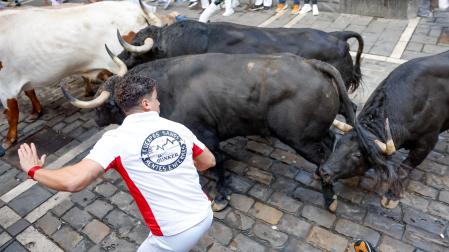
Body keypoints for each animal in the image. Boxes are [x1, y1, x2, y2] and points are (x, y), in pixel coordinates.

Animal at [65, 53, 354, 211]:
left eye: (108, 104)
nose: (95, 119)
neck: (166, 90)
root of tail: (313, 64)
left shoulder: (207, 137)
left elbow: (218, 166)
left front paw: (221, 197)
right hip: (313, 133)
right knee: (331, 141)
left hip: (299, 139)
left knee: (323, 158)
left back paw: (329, 198)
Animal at [318, 50, 448, 210]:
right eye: (338, 144)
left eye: (357, 155)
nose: (324, 171)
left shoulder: (427, 141)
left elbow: (404, 169)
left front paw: (391, 196)